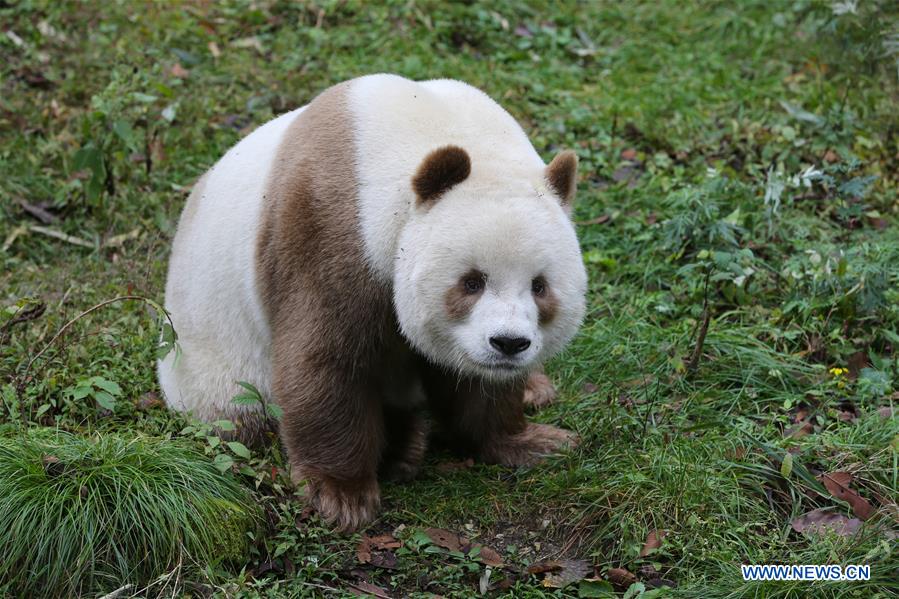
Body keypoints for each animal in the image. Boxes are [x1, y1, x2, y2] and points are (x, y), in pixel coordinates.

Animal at [159, 74, 588, 531]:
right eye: (471, 282)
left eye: (539, 286)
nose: (508, 343)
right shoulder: (329, 227)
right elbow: (328, 360)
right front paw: (342, 495)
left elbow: (478, 385)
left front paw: (535, 441)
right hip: (214, 360)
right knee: (238, 413)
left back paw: (532, 390)